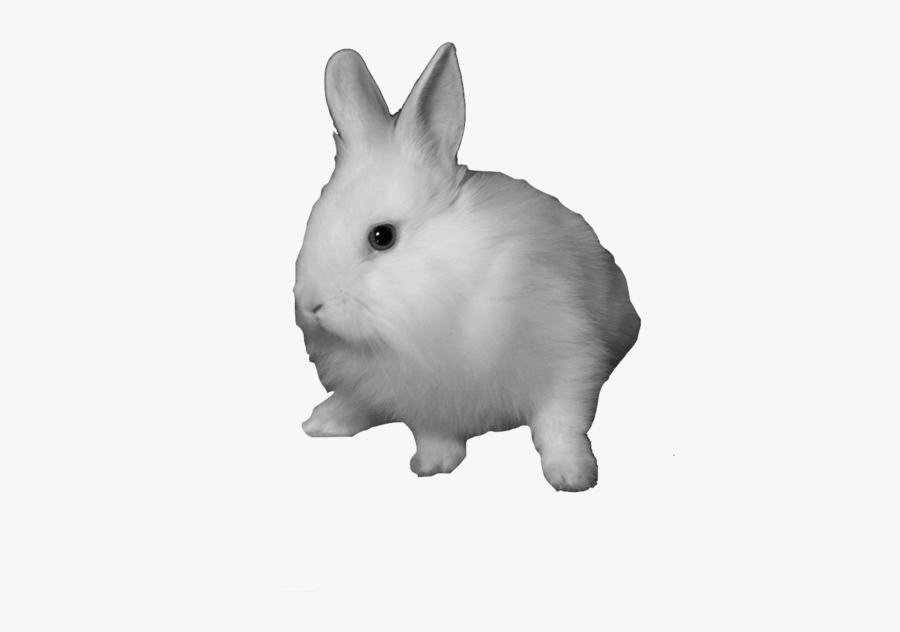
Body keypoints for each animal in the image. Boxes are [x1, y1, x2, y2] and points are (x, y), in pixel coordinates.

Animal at [293, 43, 640, 492]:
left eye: (382, 236)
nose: (311, 306)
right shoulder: (424, 397)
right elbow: (433, 432)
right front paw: (433, 463)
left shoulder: (569, 361)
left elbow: (561, 426)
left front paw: (573, 476)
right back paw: (321, 420)